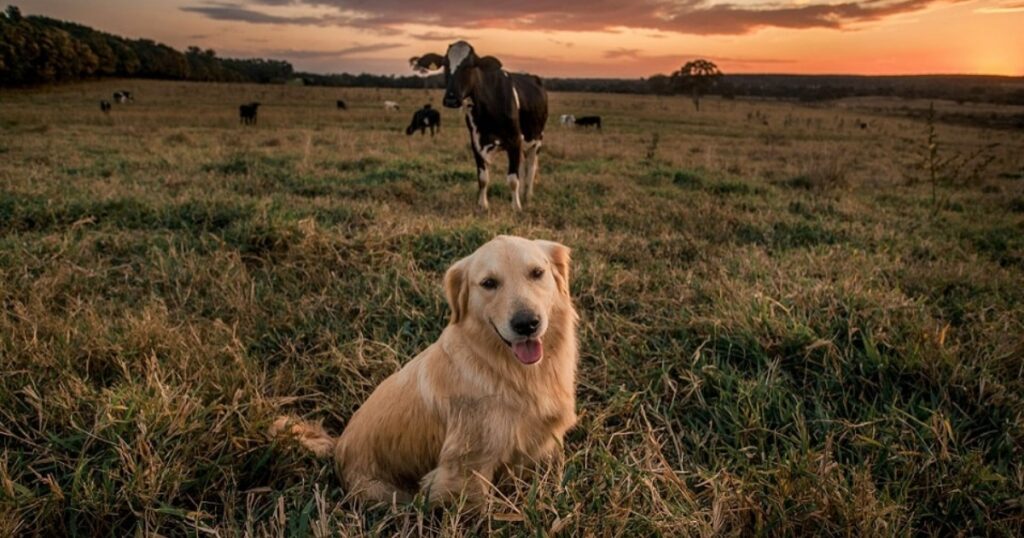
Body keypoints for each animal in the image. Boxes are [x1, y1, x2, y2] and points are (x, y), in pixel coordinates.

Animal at [272, 234, 577, 504]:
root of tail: (337, 446)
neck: (506, 369)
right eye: (489, 283)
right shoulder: (464, 468)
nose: (527, 324)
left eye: (537, 273)